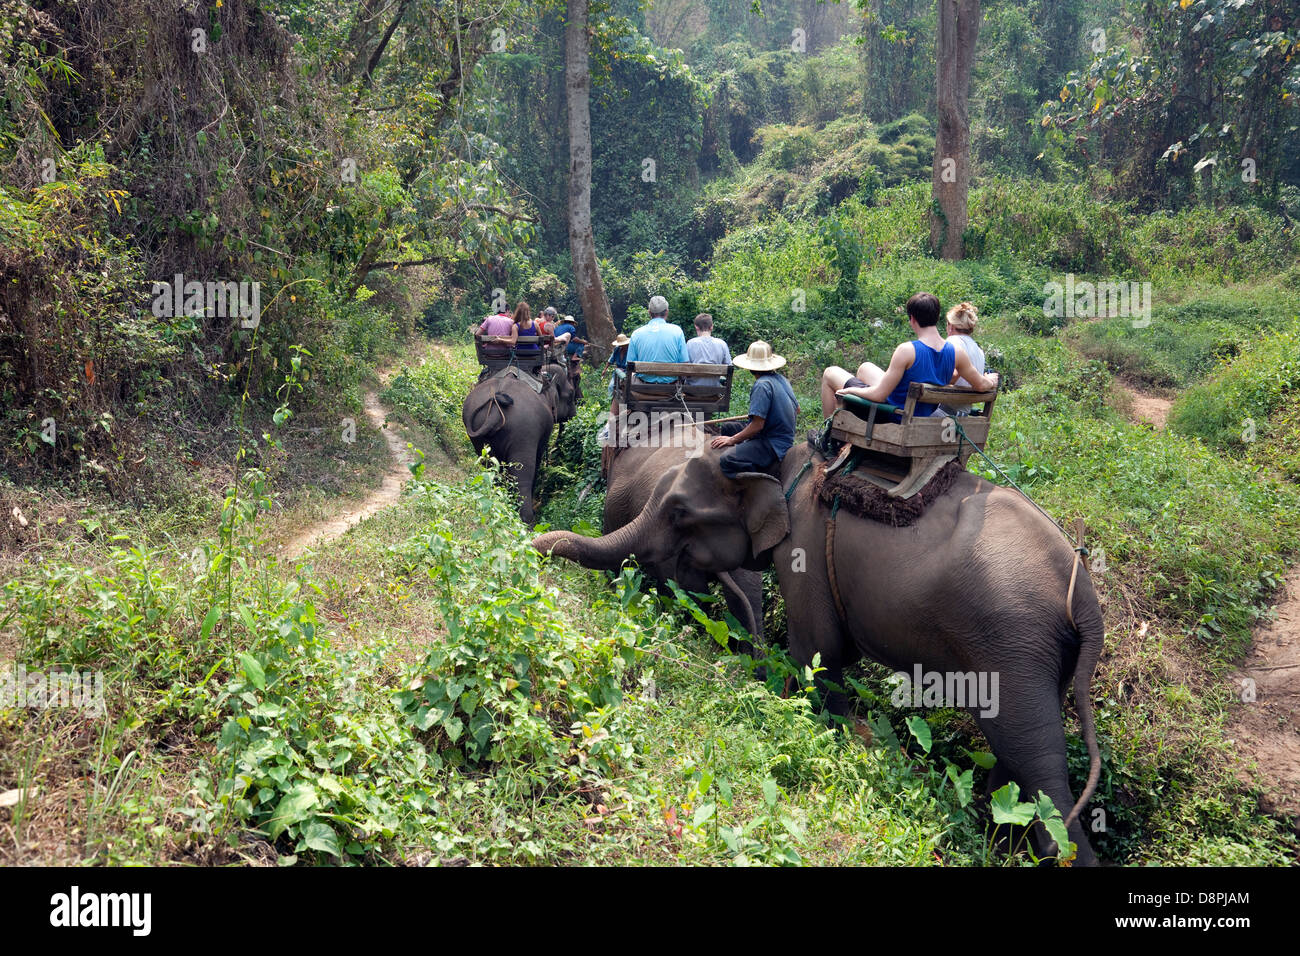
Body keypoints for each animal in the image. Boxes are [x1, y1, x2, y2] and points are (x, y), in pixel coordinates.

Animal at [460, 358, 577, 522]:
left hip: (480, 436)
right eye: (571, 393)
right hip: (524, 433)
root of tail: (495, 406)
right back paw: (527, 520)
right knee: (523, 474)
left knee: (491, 468)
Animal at [533, 418, 1102, 868]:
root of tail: (1084, 592)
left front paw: (835, 735)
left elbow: (819, 652)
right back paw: (1004, 842)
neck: (780, 463)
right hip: (1037, 651)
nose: (535, 541)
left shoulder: (803, 546)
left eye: (677, 512)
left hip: (1013, 639)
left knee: (1036, 759)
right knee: (1016, 759)